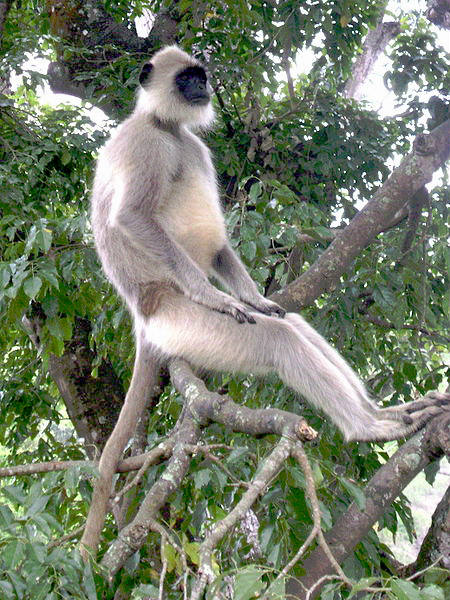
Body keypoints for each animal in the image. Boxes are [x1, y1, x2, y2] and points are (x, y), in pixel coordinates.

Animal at [89, 45, 448, 440]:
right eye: (185, 79)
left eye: (201, 77)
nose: (201, 87)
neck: (165, 126)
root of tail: (143, 315)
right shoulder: (146, 145)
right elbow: (131, 216)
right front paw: (212, 295)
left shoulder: (194, 148)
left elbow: (220, 245)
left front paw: (255, 298)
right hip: (180, 323)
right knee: (280, 339)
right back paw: (366, 427)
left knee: (293, 324)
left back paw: (385, 412)